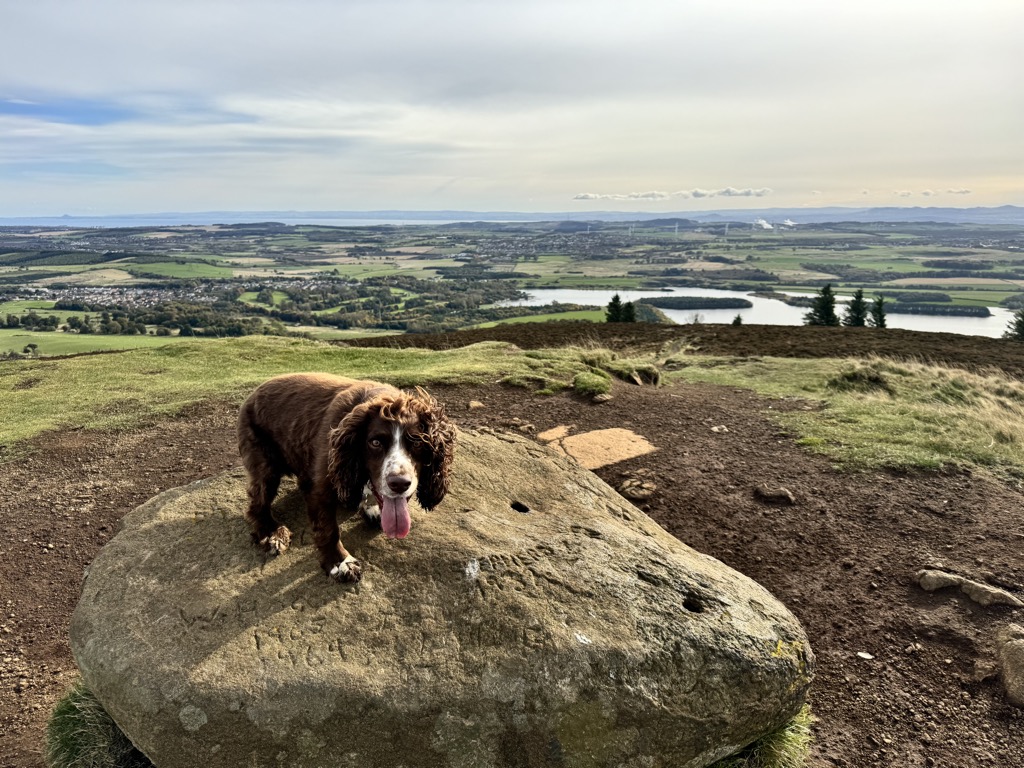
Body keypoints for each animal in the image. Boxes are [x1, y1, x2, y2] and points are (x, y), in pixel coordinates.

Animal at [237, 373, 455, 582]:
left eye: (418, 443)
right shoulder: (321, 487)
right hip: (265, 467)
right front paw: (340, 563)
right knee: (257, 505)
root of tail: (252, 395)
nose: (399, 484)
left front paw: (372, 509)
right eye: (375, 442)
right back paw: (272, 533)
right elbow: (328, 529)